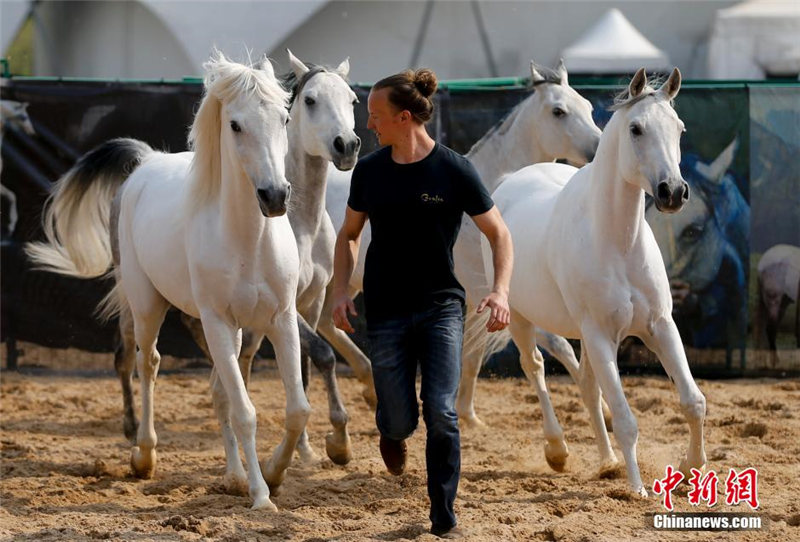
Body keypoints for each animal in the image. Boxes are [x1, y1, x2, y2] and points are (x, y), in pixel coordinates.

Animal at [25, 53, 310, 512]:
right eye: (235, 125)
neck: (247, 241)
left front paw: (273, 473)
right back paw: (144, 454)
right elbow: (245, 412)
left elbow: (296, 409)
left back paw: (232, 475)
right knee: (147, 363)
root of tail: (146, 163)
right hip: (147, 306)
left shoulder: (280, 320)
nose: (275, 197)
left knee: (217, 390)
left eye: (285, 118)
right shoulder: (216, 322)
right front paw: (262, 496)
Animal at [324, 61, 600, 432]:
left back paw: (368, 388)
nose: (598, 149)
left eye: (587, 105)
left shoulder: (484, 296)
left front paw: (468, 415)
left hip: (346, 284)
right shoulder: (494, 294)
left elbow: (472, 356)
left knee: (327, 322)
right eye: (559, 111)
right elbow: (552, 344)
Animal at [478, 69, 704, 498]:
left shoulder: (659, 327)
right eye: (636, 128)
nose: (673, 192)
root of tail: (510, 181)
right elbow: (626, 419)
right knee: (535, 367)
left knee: (586, 385)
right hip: (519, 318)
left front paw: (691, 469)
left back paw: (607, 462)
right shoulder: (599, 335)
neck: (617, 243)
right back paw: (557, 450)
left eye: (680, 128)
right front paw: (637, 489)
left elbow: (692, 401)